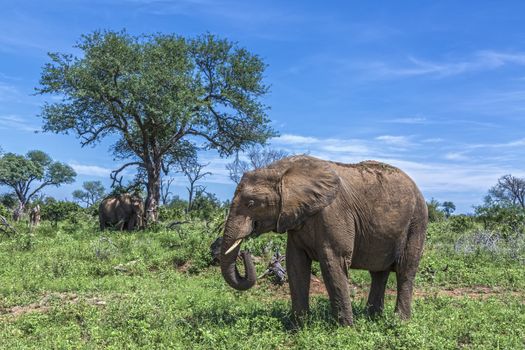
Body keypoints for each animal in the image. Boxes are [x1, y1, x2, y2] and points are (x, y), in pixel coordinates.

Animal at [219, 155, 428, 326]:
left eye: (251, 203)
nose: (245, 252)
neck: (282, 170)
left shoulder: (334, 213)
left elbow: (333, 263)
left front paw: (345, 330)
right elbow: (296, 264)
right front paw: (298, 328)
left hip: (417, 222)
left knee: (405, 271)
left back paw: (399, 322)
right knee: (379, 273)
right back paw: (372, 318)